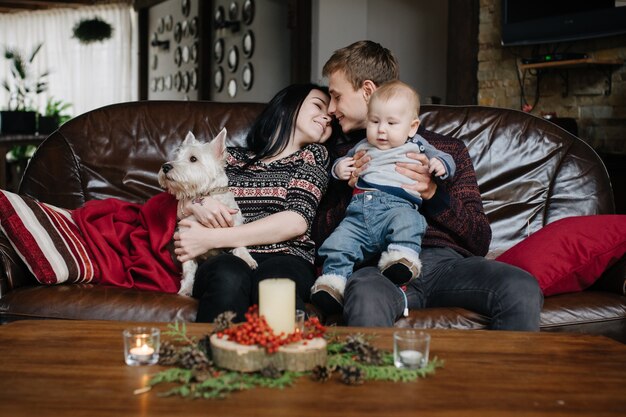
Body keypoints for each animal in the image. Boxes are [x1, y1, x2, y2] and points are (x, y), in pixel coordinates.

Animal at [158, 127, 256, 296]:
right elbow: (189, 269)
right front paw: (186, 289)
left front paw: (247, 259)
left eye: (193, 159)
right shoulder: (186, 240)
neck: (209, 194)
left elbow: (239, 242)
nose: (165, 167)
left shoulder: (234, 222)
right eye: (177, 157)